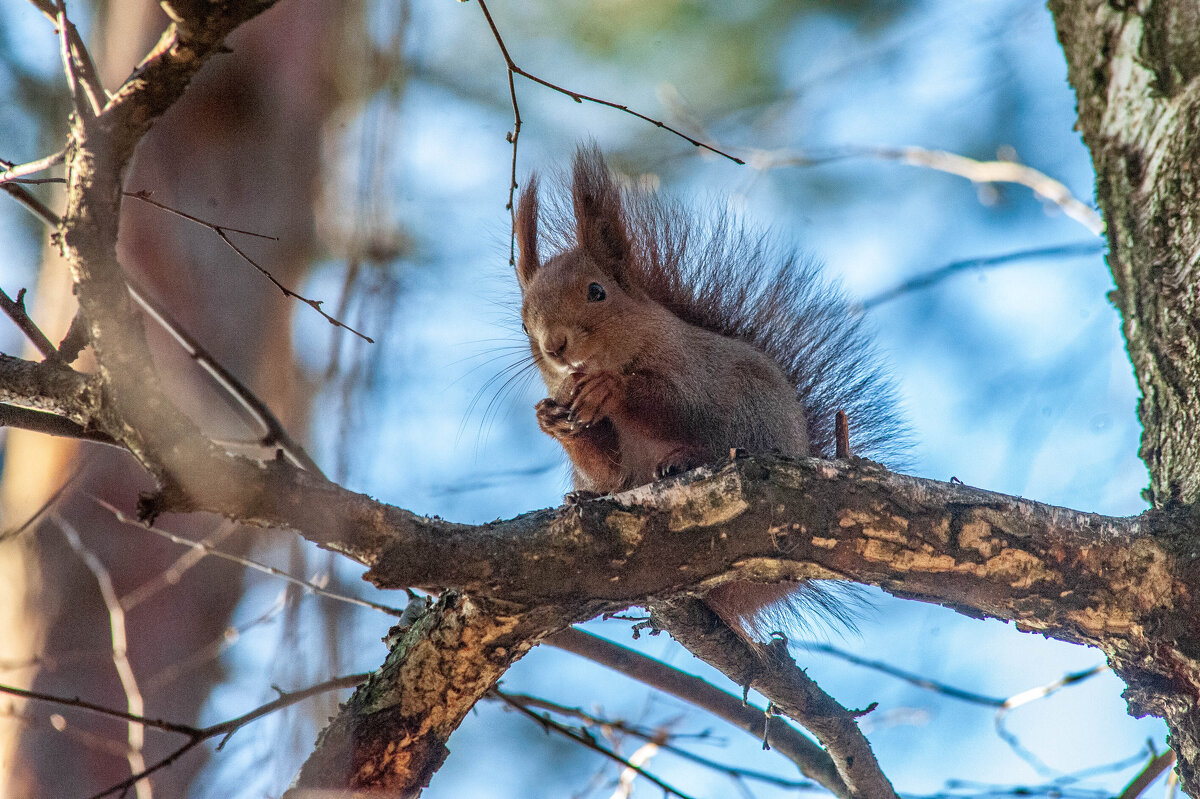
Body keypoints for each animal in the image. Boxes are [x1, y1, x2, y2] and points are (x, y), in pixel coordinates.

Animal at [511, 144, 902, 633]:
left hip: (752, 421)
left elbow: (675, 407)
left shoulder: (694, 373)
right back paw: (586, 494)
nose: (555, 347)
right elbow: (606, 466)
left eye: (597, 292)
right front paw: (552, 420)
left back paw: (682, 461)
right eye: (523, 322)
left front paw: (611, 388)